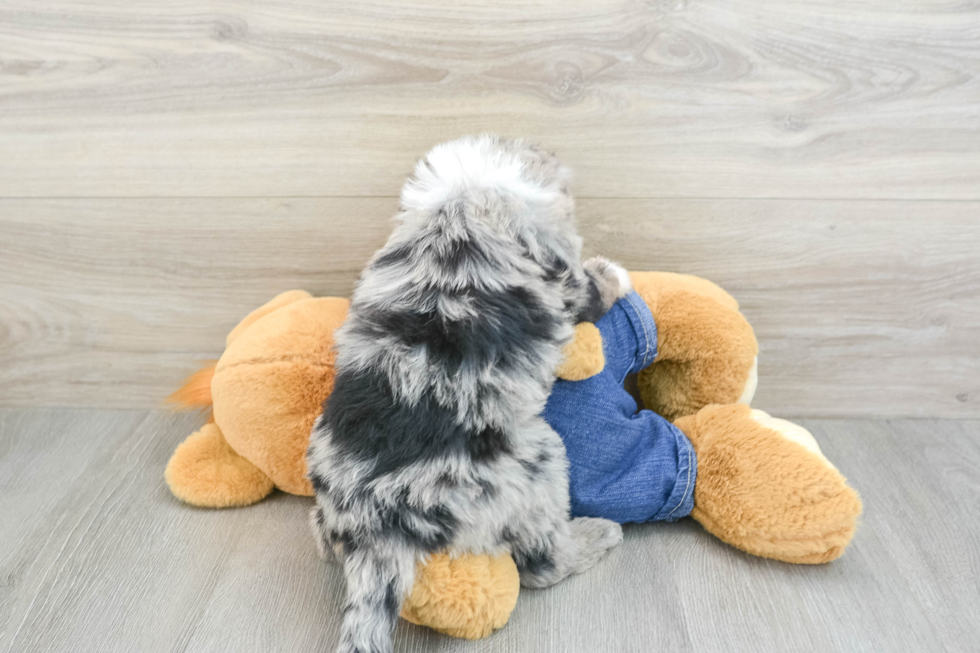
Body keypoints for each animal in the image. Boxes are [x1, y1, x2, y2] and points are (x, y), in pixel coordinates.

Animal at [310, 134, 632, 652]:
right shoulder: (560, 276)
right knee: (542, 562)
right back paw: (595, 535)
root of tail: (375, 532)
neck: (463, 201)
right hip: (537, 466)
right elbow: (589, 288)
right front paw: (615, 273)